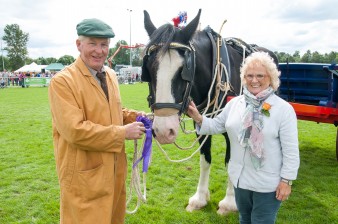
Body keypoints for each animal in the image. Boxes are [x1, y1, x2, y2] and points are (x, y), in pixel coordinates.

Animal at [142, 9, 278, 215]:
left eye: (184, 70)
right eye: (149, 69)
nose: (164, 131)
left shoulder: (235, 129)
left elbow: (232, 162)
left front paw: (230, 202)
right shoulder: (201, 124)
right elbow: (205, 159)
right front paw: (200, 198)